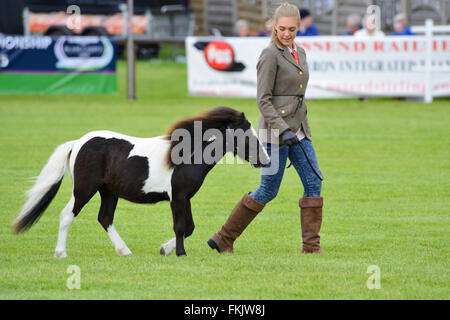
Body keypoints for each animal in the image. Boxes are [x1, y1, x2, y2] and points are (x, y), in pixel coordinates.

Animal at [12, 107, 268, 258]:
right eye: (247, 136)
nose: (265, 160)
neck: (186, 154)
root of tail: (78, 143)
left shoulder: (185, 197)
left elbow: (190, 227)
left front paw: (165, 249)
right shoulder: (177, 197)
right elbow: (180, 226)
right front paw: (180, 254)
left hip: (108, 192)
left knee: (105, 218)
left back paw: (124, 250)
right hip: (84, 190)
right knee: (67, 215)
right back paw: (61, 253)